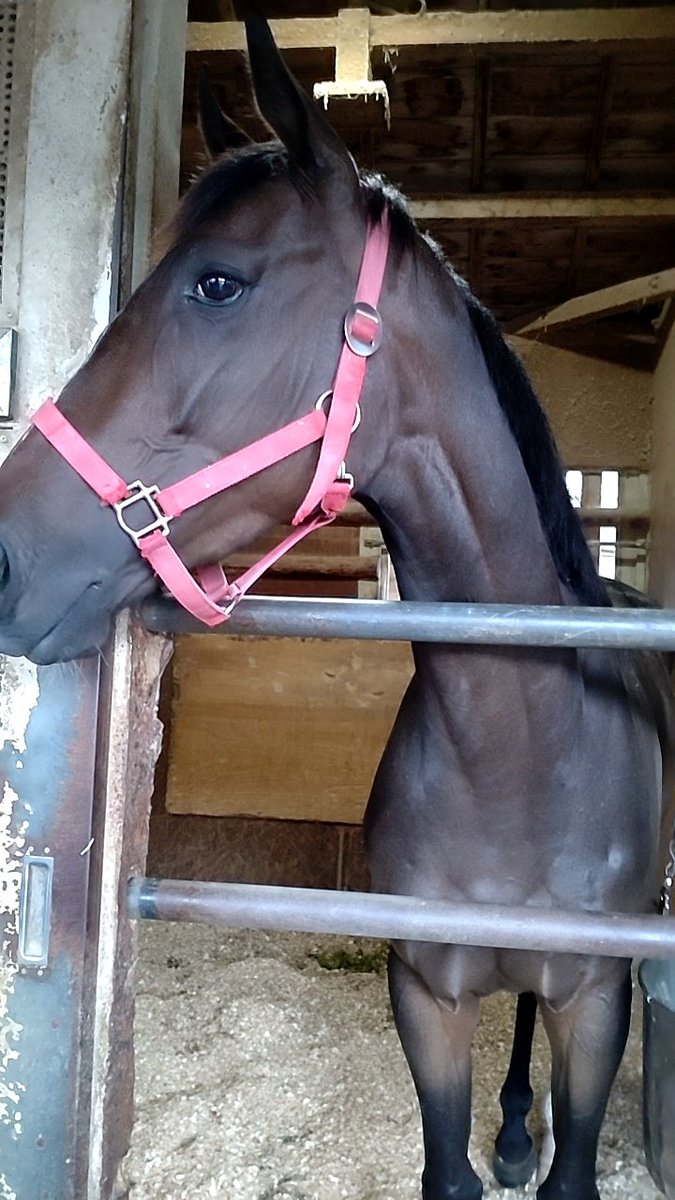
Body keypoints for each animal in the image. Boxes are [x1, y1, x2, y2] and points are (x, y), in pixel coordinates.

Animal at [0, 15, 670, 1200]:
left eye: (219, 284)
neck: (524, 747)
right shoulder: (426, 997)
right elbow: (447, 1164)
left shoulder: (602, 1003)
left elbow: (574, 1162)